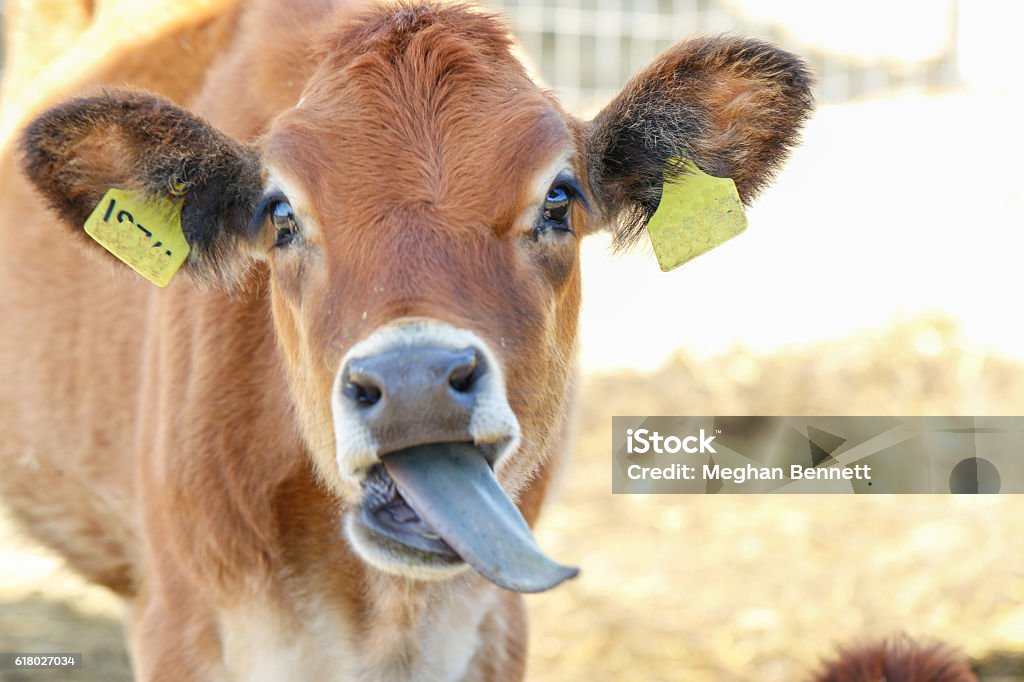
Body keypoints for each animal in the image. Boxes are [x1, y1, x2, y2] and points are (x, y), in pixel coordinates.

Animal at [0, 0, 815, 675]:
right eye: (280, 214)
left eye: (559, 198)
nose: (414, 381)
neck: (381, 611)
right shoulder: (185, 624)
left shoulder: (491, 624)